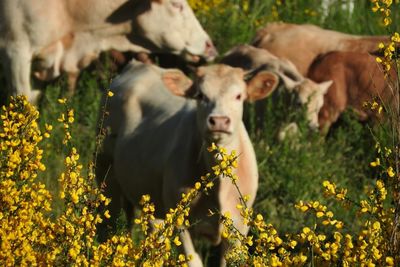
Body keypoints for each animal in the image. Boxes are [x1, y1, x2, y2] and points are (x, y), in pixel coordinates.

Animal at [96, 59, 278, 266]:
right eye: (200, 95)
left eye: (239, 96)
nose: (219, 121)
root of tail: (137, 66)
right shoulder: (180, 220)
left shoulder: (239, 226)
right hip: (105, 172)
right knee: (109, 224)